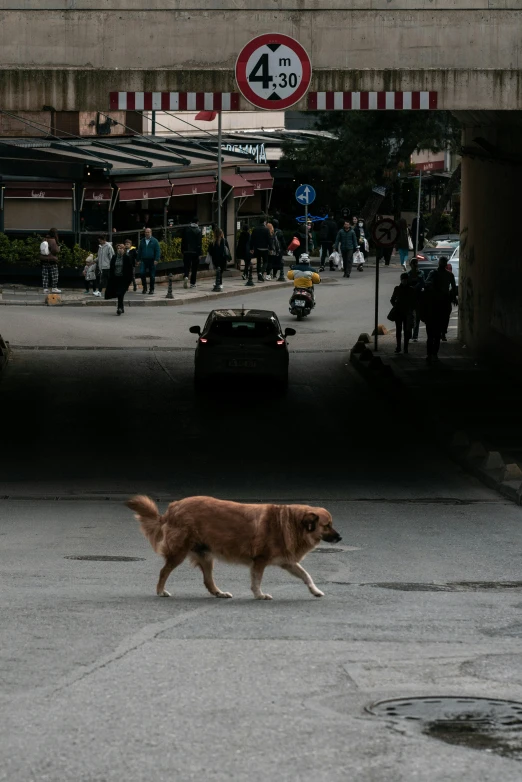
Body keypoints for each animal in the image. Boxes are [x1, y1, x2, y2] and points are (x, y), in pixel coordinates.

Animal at [126, 500, 342, 604]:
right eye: (327, 525)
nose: (340, 538)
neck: (289, 522)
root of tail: (172, 508)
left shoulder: (287, 562)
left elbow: (306, 575)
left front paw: (315, 590)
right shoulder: (260, 560)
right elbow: (256, 581)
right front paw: (259, 595)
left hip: (206, 556)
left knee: (208, 580)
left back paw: (219, 592)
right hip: (179, 552)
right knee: (164, 571)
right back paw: (160, 590)